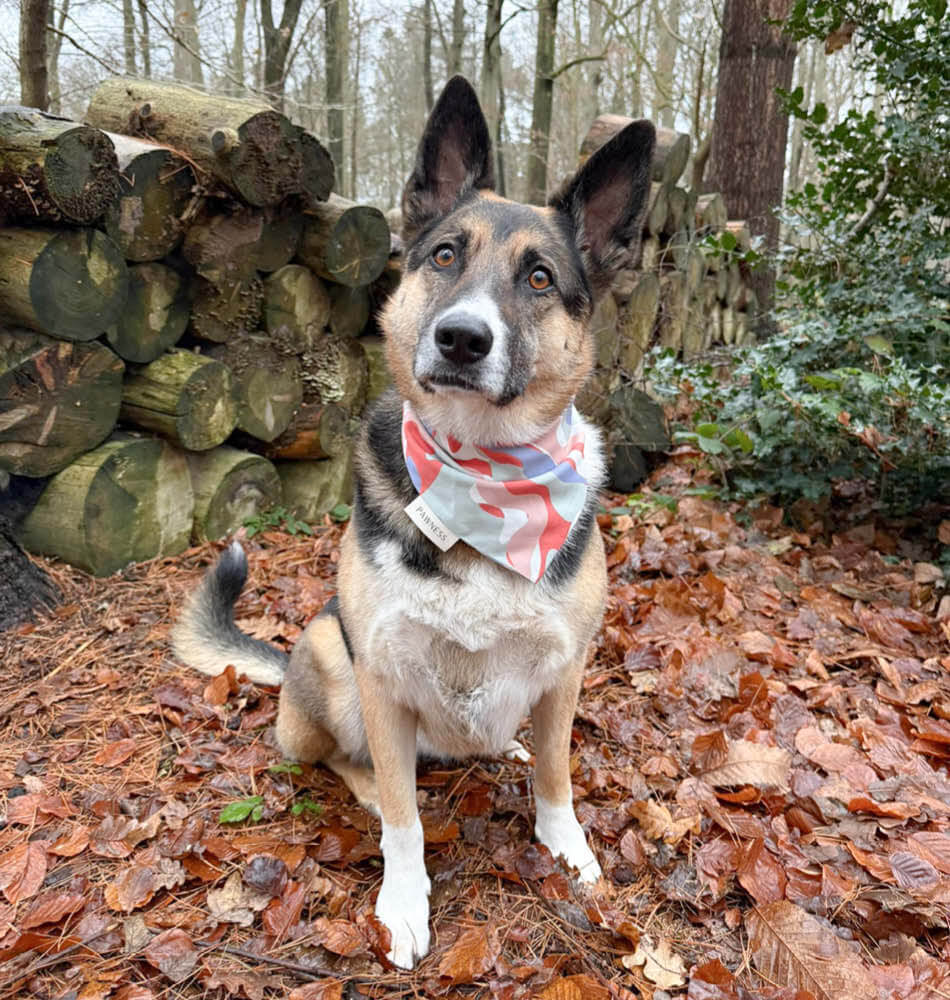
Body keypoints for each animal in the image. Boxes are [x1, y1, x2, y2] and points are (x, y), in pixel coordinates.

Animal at [175, 78, 656, 968]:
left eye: (541, 278)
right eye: (443, 256)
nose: (462, 337)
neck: (485, 479)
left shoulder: (566, 671)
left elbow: (556, 776)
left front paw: (566, 847)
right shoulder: (382, 675)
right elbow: (404, 820)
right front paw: (402, 903)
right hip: (329, 652)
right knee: (335, 758)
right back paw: (364, 781)